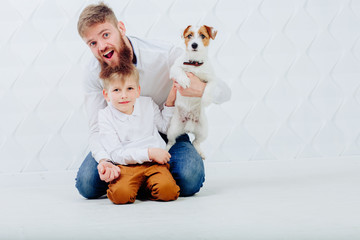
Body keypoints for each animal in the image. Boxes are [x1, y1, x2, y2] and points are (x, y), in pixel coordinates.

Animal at [166, 24, 217, 159]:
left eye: (203, 36)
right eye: (189, 35)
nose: (194, 45)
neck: (195, 63)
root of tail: (188, 126)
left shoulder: (212, 78)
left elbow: (210, 86)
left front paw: (206, 99)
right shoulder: (174, 69)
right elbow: (180, 71)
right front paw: (184, 81)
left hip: (204, 130)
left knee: (196, 142)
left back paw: (200, 152)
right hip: (172, 129)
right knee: (171, 141)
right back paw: (165, 151)